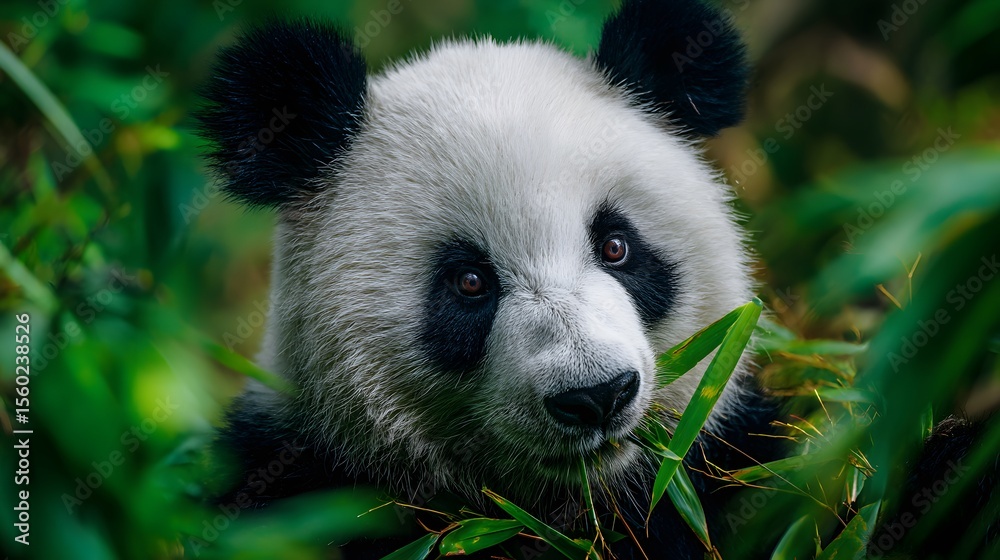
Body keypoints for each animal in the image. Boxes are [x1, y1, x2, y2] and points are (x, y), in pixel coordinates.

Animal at [196, 0, 996, 558]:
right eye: (469, 283)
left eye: (615, 246)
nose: (596, 395)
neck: (587, 504)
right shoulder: (303, 484)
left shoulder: (733, 462)